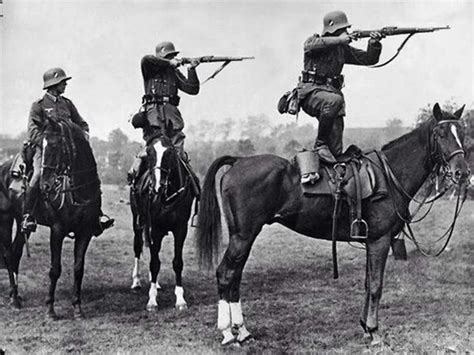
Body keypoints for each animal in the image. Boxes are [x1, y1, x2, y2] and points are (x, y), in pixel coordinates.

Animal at [0, 120, 104, 320]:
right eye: (41, 145)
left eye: (56, 146)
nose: (45, 185)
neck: (77, 190)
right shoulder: (57, 230)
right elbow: (55, 270)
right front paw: (50, 309)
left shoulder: (85, 232)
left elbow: (78, 269)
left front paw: (77, 308)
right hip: (6, 218)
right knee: (8, 255)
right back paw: (15, 299)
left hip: (21, 222)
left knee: (16, 253)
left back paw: (14, 296)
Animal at [130, 145, 198, 312]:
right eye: (150, 153)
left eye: (169, 152)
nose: (157, 186)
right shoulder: (155, 229)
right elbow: (154, 264)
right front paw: (152, 301)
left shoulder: (181, 230)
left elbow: (177, 263)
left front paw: (180, 300)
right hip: (137, 222)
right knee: (138, 247)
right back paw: (136, 281)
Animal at [196, 103, 470, 348]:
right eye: (440, 134)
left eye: (461, 133)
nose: (462, 173)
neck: (389, 175)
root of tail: (237, 162)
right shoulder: (379, 241)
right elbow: (376, 286)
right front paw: (375, 332)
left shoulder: (372, 243)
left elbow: (368, 283)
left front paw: (365, 327)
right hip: (243, 236)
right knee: (226, 274)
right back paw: (229, 333)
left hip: (242, 237)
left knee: (234, 277)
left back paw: (242, 332)